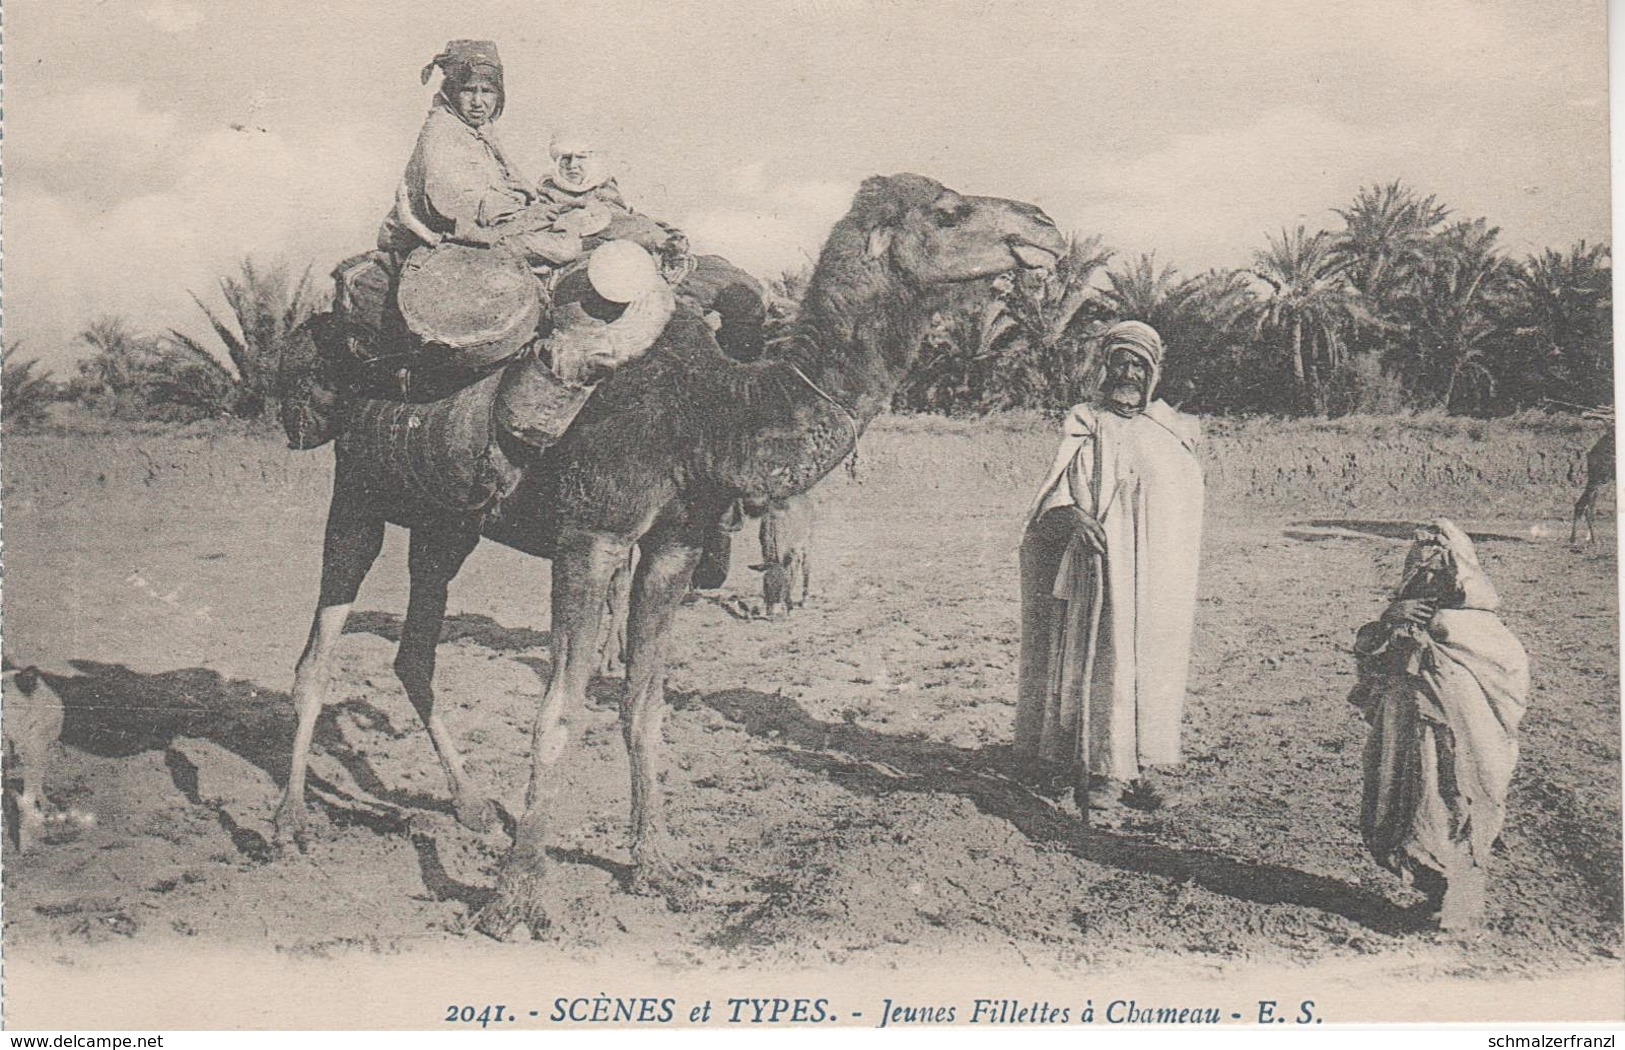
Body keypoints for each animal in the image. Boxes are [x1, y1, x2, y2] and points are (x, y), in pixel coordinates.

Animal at [274, 173, 1066, 936]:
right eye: (949, 211)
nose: (1046, 227)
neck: (709, 412)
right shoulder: (592, 537)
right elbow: (559, 711)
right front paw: (518, 901)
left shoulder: (674, 547)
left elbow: (644, 706)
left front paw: (659, 866)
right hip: (357, 492)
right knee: (317, 651)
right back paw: (290, 824)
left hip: (448, 524)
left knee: (415, 654)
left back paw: (471, 808)